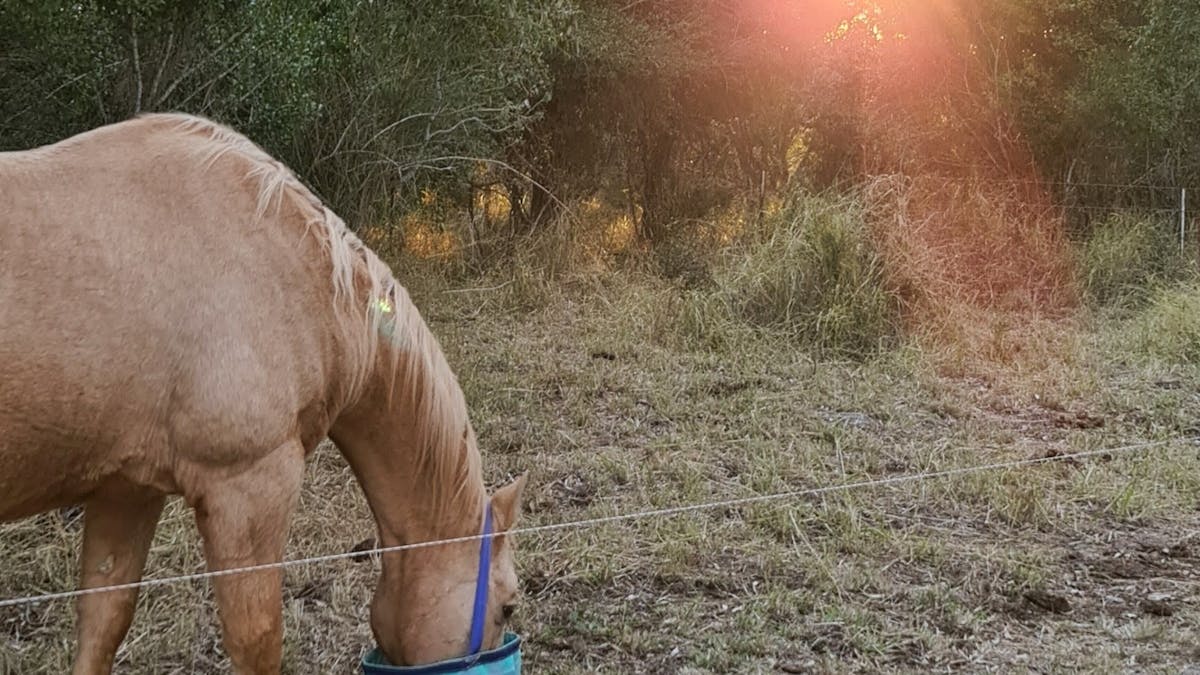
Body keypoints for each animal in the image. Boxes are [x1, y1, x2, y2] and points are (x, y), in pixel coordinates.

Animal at [0, 113, 526, 674]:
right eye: (508, 607)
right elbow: (257, 640)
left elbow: (104, 622)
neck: (291, 261)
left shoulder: (126, 491)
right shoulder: (249, 488)